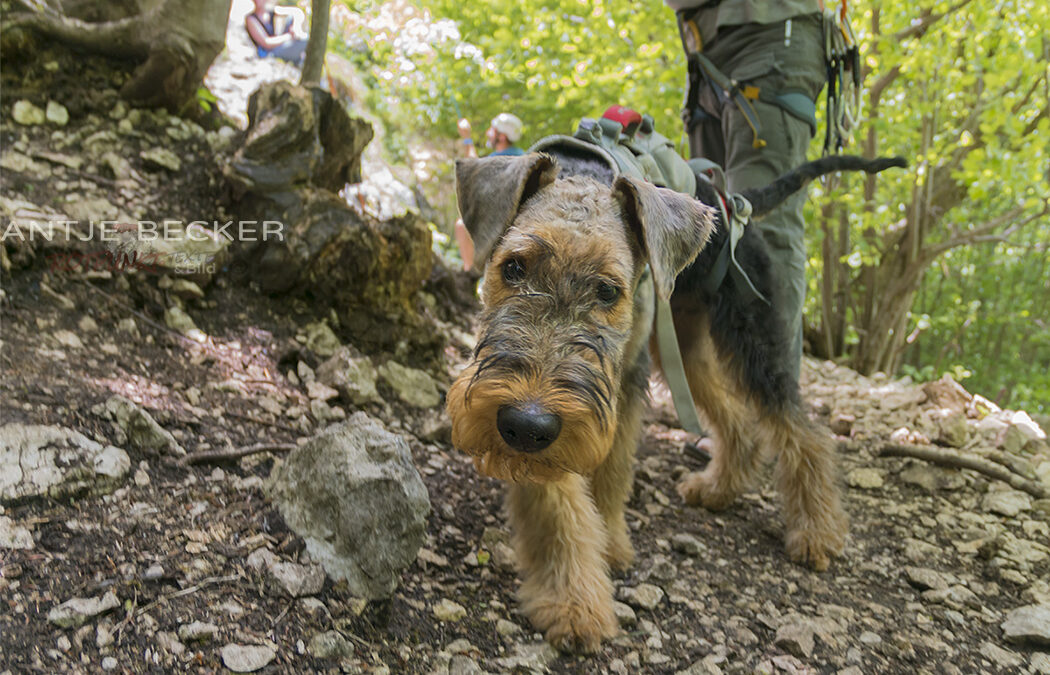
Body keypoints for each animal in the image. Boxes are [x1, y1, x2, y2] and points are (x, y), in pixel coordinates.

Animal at [443, 146, 902, 650]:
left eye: (608, 290)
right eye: (513, 267)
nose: (526, 424)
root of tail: (731, 201)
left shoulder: (620, 383)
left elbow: (610, 476)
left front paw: (604, 553)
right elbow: (558, 505)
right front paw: (572, 601)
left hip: (753, 343)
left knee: (804, 432)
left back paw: (816, 531)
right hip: (684, 344)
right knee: (738, 420)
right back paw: (719, 488)